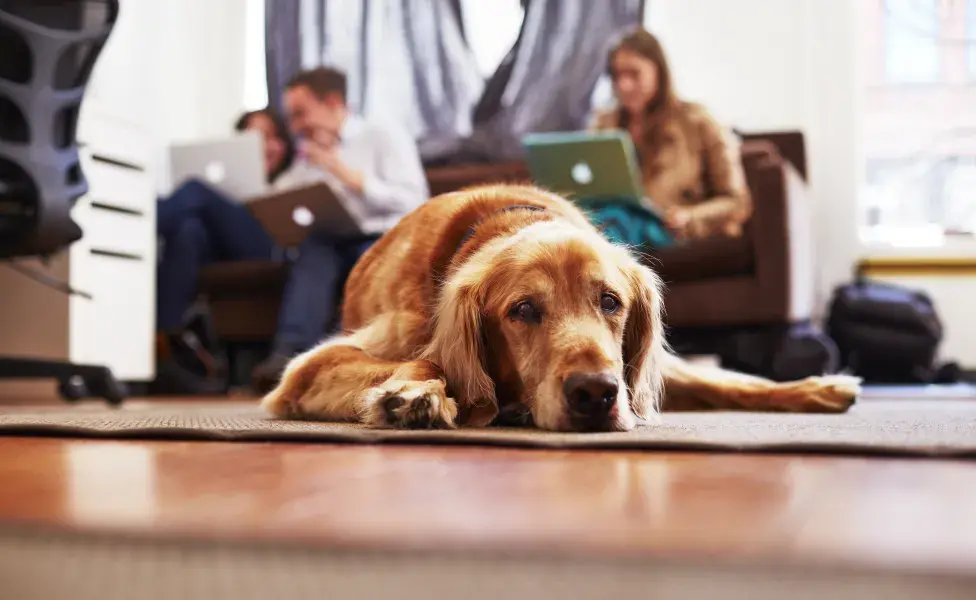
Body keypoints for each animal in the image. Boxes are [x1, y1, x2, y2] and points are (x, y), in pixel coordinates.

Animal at [262, 184, 860, 432]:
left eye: (611, 301)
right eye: (523, 310)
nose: (595, 393)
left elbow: (728, 381)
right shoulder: (307, 370)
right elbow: (429, 357)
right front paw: (413, 394)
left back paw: (819, 387)